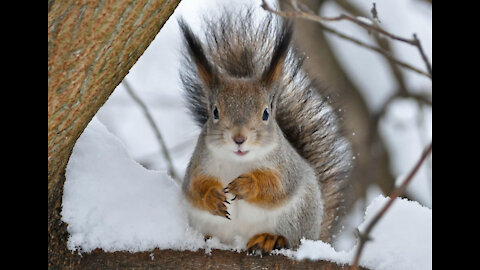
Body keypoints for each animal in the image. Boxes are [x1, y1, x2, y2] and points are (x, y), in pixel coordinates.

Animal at [178, 8, 350, 255]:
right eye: (215, 112)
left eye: (266, 113)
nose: (239, 138)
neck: (238, 162)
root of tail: (315, 235)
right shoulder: (198, 165)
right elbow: (194, 189)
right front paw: (211, 196)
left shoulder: (286, 169)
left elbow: (276, 188)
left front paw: (247, 185)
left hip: (297, 218)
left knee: (291, 239)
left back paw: (272, 239)